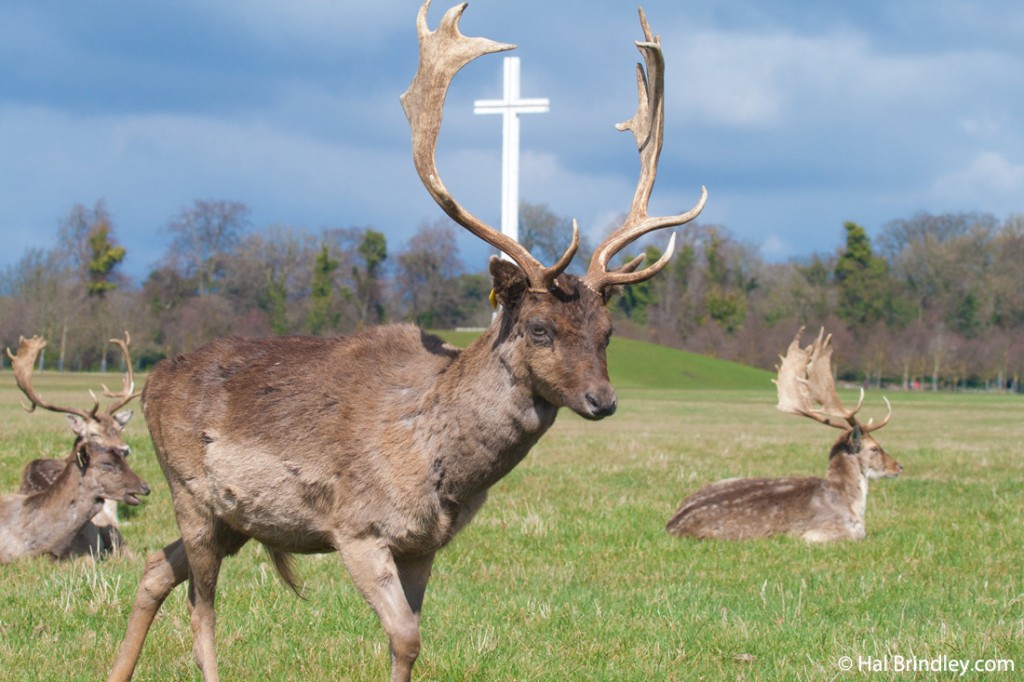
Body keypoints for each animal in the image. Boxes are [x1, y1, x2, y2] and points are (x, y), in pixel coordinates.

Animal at [108, 2, 708, 675]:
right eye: (539, 328)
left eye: (608, 332)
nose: (603, 401)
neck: (438, 462)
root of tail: (153, 379)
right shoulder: (357, 528)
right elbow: (404, 636)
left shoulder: (423, 545)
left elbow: (414, 635)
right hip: (191, 494)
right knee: (201, 605)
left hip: (234, 519)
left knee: (155, 568)